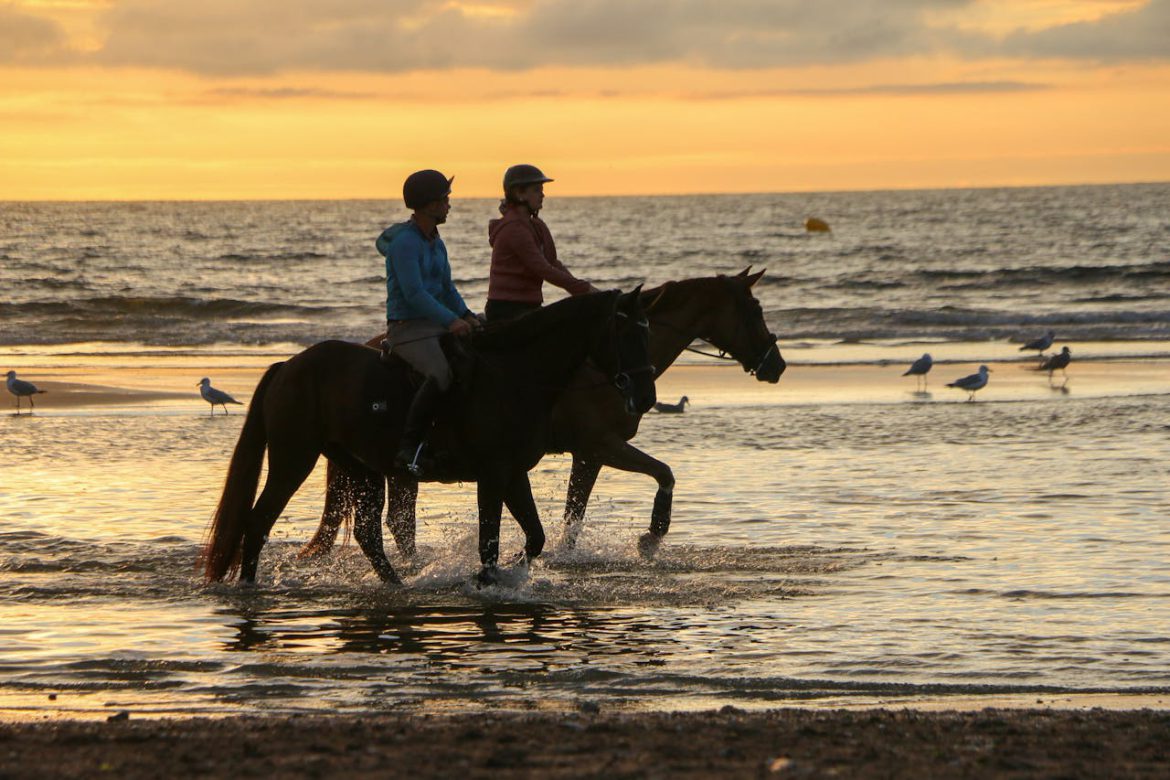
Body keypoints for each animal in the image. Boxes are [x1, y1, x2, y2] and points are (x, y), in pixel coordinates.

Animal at [202, 290, 659, 589]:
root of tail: (288, 366)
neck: (517, 373)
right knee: (258, 521)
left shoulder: (512, 473)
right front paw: (486, 579)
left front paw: (508, 572)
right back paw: (248, 588)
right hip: (293, 460)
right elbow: (489, 541)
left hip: (360, 466)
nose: (646, 397)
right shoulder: (493, 474)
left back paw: (398, 585)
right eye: (625, 335)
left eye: (648, 332)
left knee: (368, 534)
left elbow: (535, 537)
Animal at [299, 268, 786, 561]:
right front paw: (651, 537)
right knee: (400, 522)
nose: (776, 365)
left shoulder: (588, 454)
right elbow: (662, 472)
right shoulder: (599, 446)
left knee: (399, 522)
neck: (599, 368)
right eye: (755, 309)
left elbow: (575, 513)